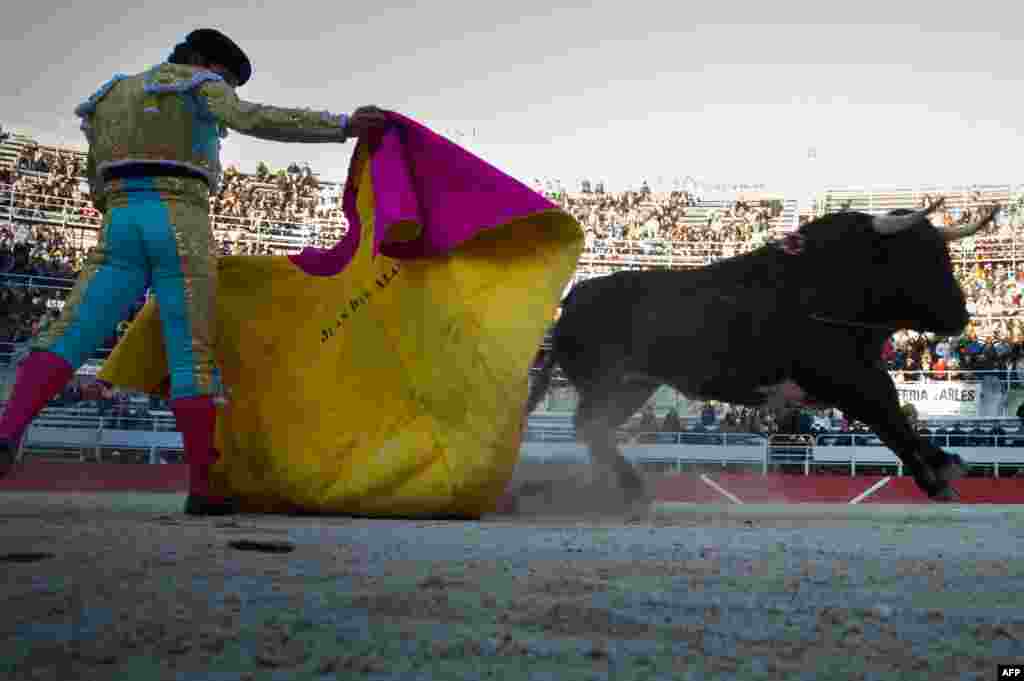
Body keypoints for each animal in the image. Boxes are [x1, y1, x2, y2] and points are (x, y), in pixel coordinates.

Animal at [528, 199, 999, 501]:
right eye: (915, 258)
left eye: (944, 255)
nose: (961, 315)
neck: (831, 281)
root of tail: (574, 296)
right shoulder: (845, 376)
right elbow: (890, 415)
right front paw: (941, 471)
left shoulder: (857, 375)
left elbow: (891, 418)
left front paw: (939, 470)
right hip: (608, 384)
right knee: (589, 427)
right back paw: (631, 489)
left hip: (632, 387)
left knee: (595, 429)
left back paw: (628, 488)